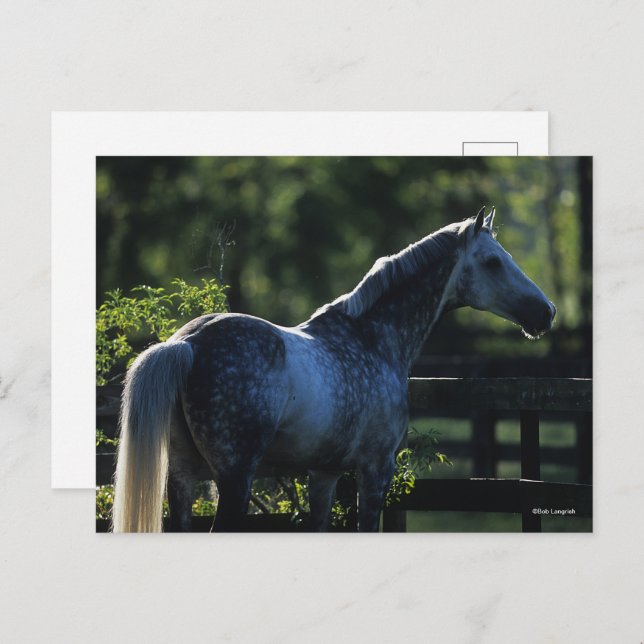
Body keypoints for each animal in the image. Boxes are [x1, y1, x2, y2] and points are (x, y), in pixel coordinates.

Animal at [112, 207, 556, 532]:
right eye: (493, 262)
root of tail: (187, 343)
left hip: (183, 478)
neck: (372, 338)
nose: (546, 312)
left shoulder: (323, 474)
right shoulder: (375, 470)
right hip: (235, 480)